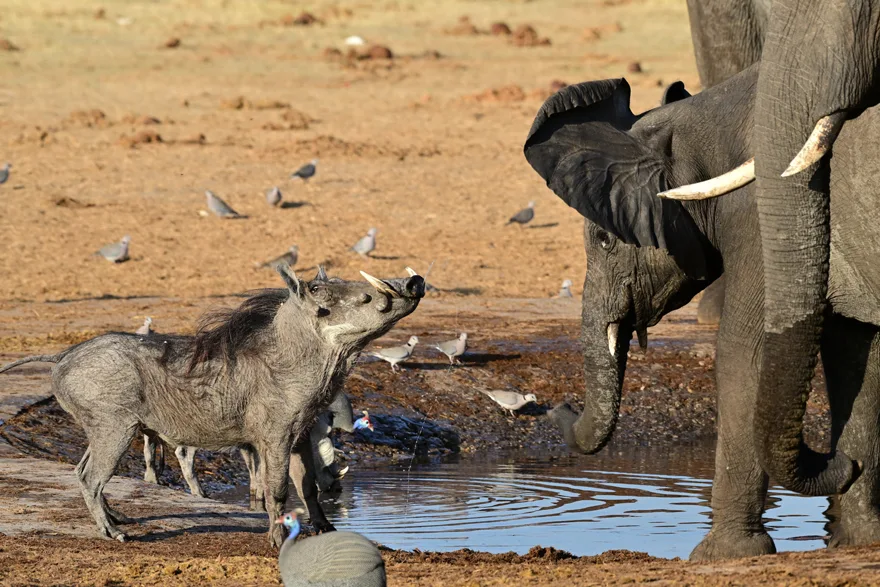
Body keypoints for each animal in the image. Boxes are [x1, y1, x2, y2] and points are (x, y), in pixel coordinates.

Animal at [524, 63, 880, 560]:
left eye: (605, 240)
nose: (560, 407)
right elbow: (857, 353)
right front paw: (859, 540)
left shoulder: (755, 215)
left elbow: (742, 355)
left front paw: (724, 555)